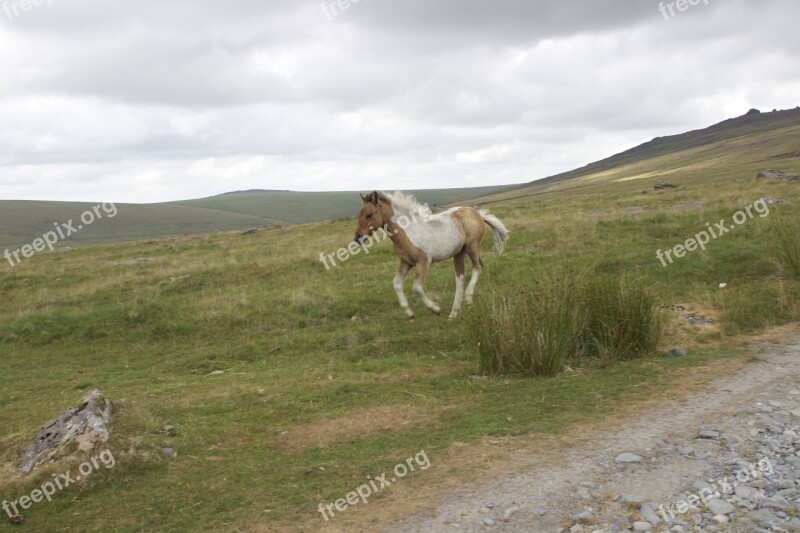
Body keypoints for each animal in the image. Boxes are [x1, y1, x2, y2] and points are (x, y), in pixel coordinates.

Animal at [354, 191, 510, 320]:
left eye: (369, 214)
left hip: (472, 247)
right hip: (459, 253)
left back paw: (467, 299)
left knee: (478, 266)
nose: (357, 238)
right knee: (460, 277)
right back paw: (454, 313)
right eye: (359, 215)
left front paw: (435, 309)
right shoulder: (405, 262)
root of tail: (477, 214)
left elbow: (417, 288)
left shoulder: (423, 262)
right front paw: (409, 313)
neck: (408, 231)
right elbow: (396, 283)